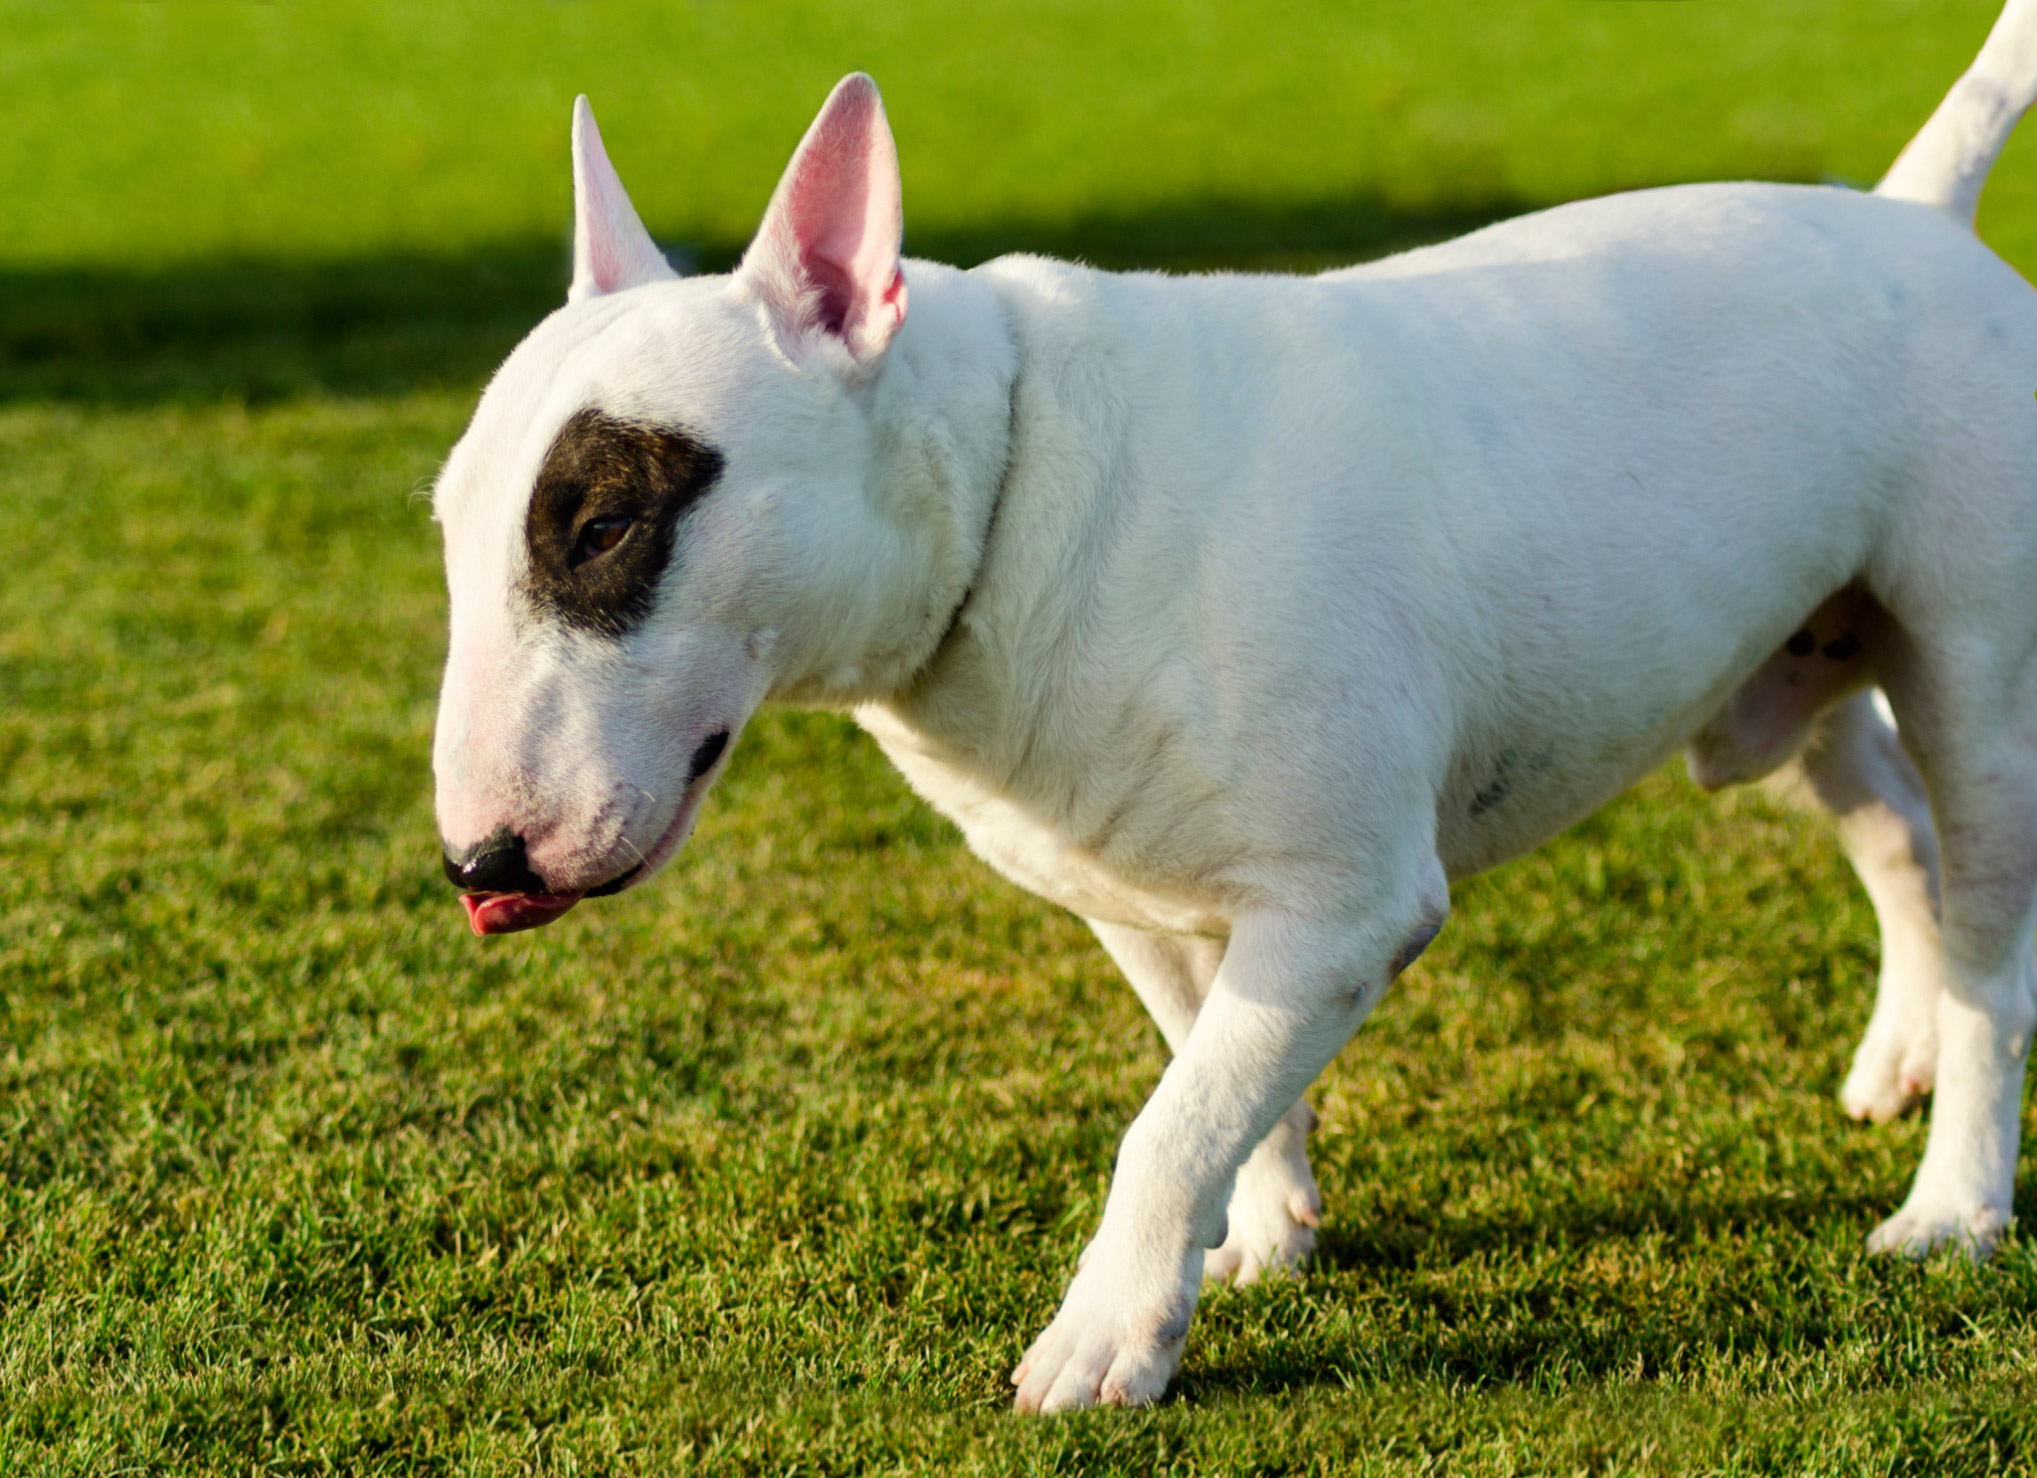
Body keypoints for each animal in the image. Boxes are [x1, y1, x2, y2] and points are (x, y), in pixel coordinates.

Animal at [437, 0, 2037, 1408]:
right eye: (450, 522)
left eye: (603, 523)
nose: (476, 863)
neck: (1018, 484)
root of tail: (1916, 212)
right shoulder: (1129, 886)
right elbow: (1202, 1069)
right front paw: (1259, 1228)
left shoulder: (1348, 901)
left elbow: (1170, 1121)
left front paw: (1101, 1343)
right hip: (1779, 664)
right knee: (1894, 829)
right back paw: (1898, 1052)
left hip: (1980, 685)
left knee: (1987, 943)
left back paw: (1953, 1197)